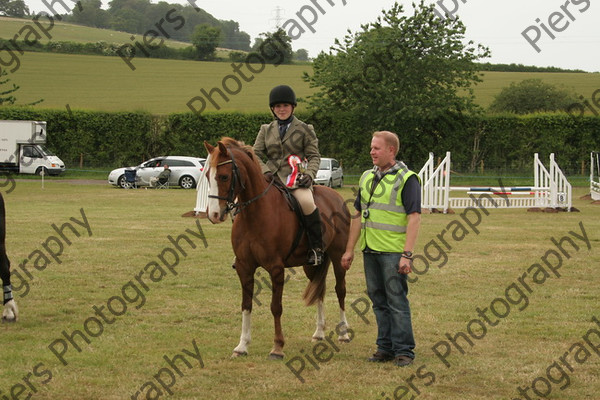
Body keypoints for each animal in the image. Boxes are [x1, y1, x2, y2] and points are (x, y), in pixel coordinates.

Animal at [204, 138, 350, 360]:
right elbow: (246, 305)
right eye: (206, 176)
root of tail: (335, 195)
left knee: (340, 290)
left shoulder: (276, 268)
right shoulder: (244, 267)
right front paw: (242, 346)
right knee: (320, 291)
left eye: (223, 176)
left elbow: (276, 307)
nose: (213, 215)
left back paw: (343, 333)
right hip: (311, 264)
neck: (254, 214)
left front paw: (278, 347)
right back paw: (319, 333)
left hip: (338, 255)